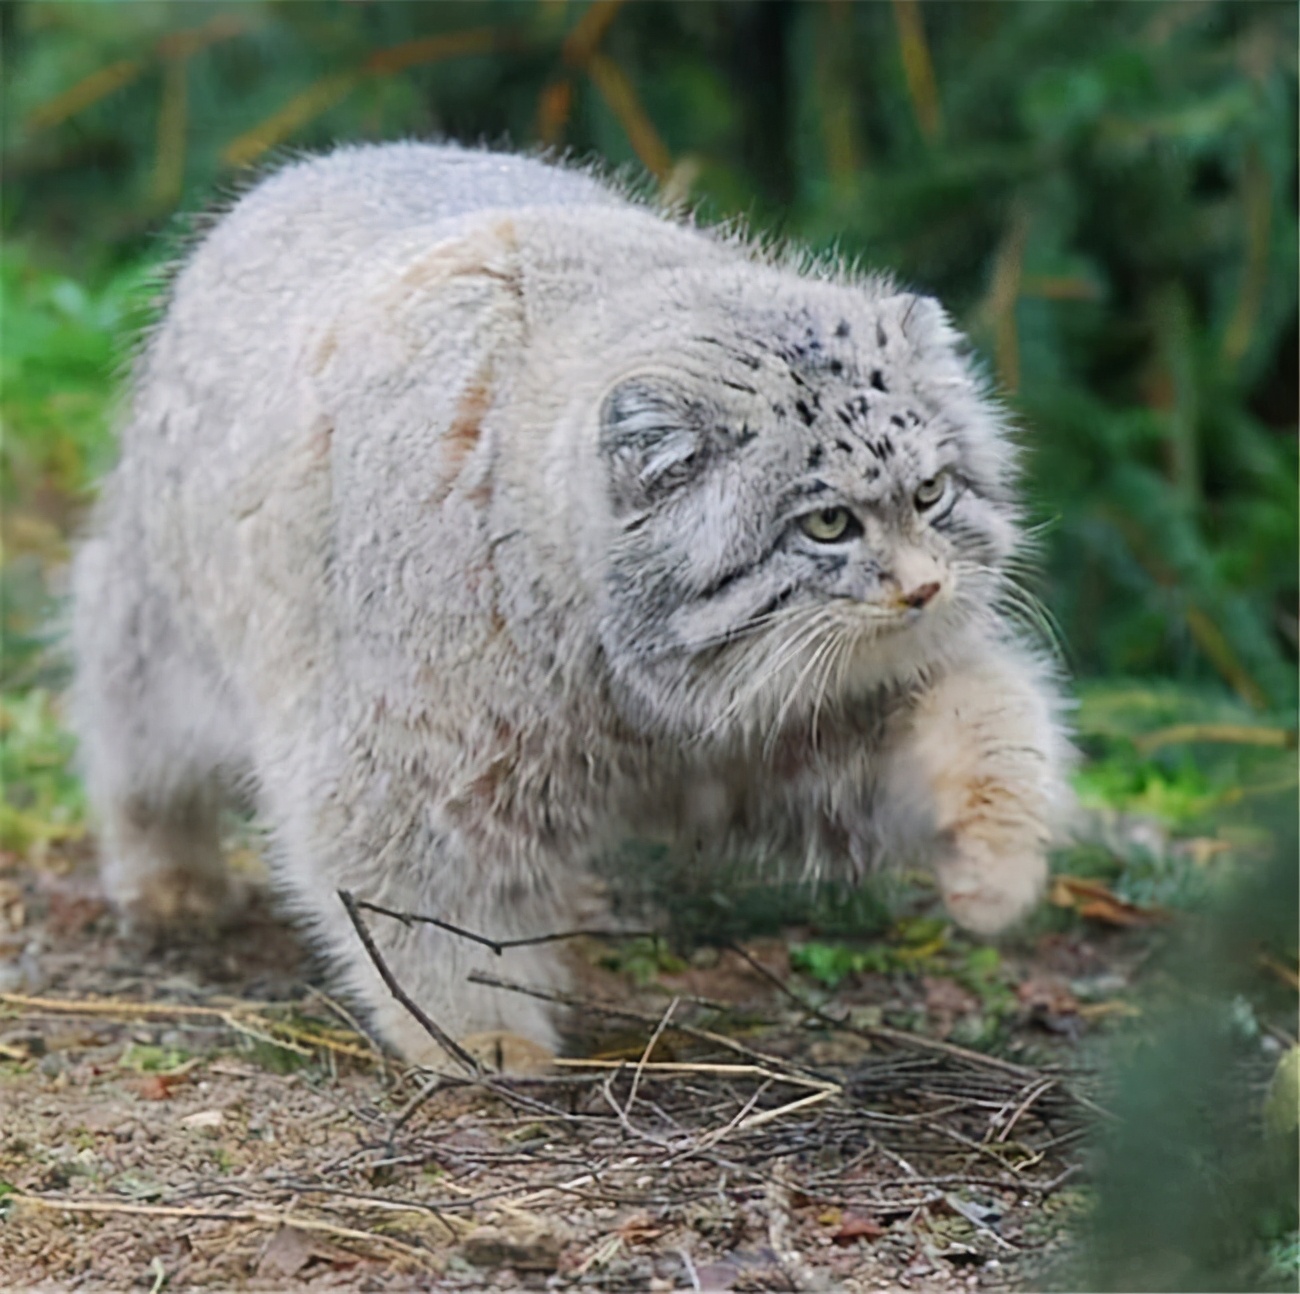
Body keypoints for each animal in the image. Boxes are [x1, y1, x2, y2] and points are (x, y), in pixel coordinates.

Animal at [71, 146, 1071, 1066]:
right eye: (828, 522)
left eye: (932, 493)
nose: (926, 587)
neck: (623, 679)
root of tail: (313, 165)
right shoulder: (405, 757)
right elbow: (425, 906)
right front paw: (477, 1031)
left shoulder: (797, 725)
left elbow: (985, 718)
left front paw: (997, 857)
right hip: (161, 626)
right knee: (131, 738)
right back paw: (167, 872)